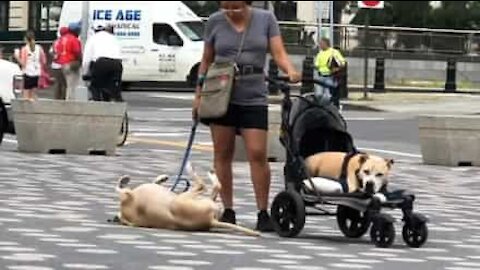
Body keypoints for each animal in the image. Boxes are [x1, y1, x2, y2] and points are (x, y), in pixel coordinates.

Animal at [115, 162, 260, 236]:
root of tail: (210, 221)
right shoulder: (128, 194)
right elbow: (119, 188)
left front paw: (161, 178)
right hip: (185, 198)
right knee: (205, 185)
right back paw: (192, 168)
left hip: (199, 199)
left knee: (213, 187)